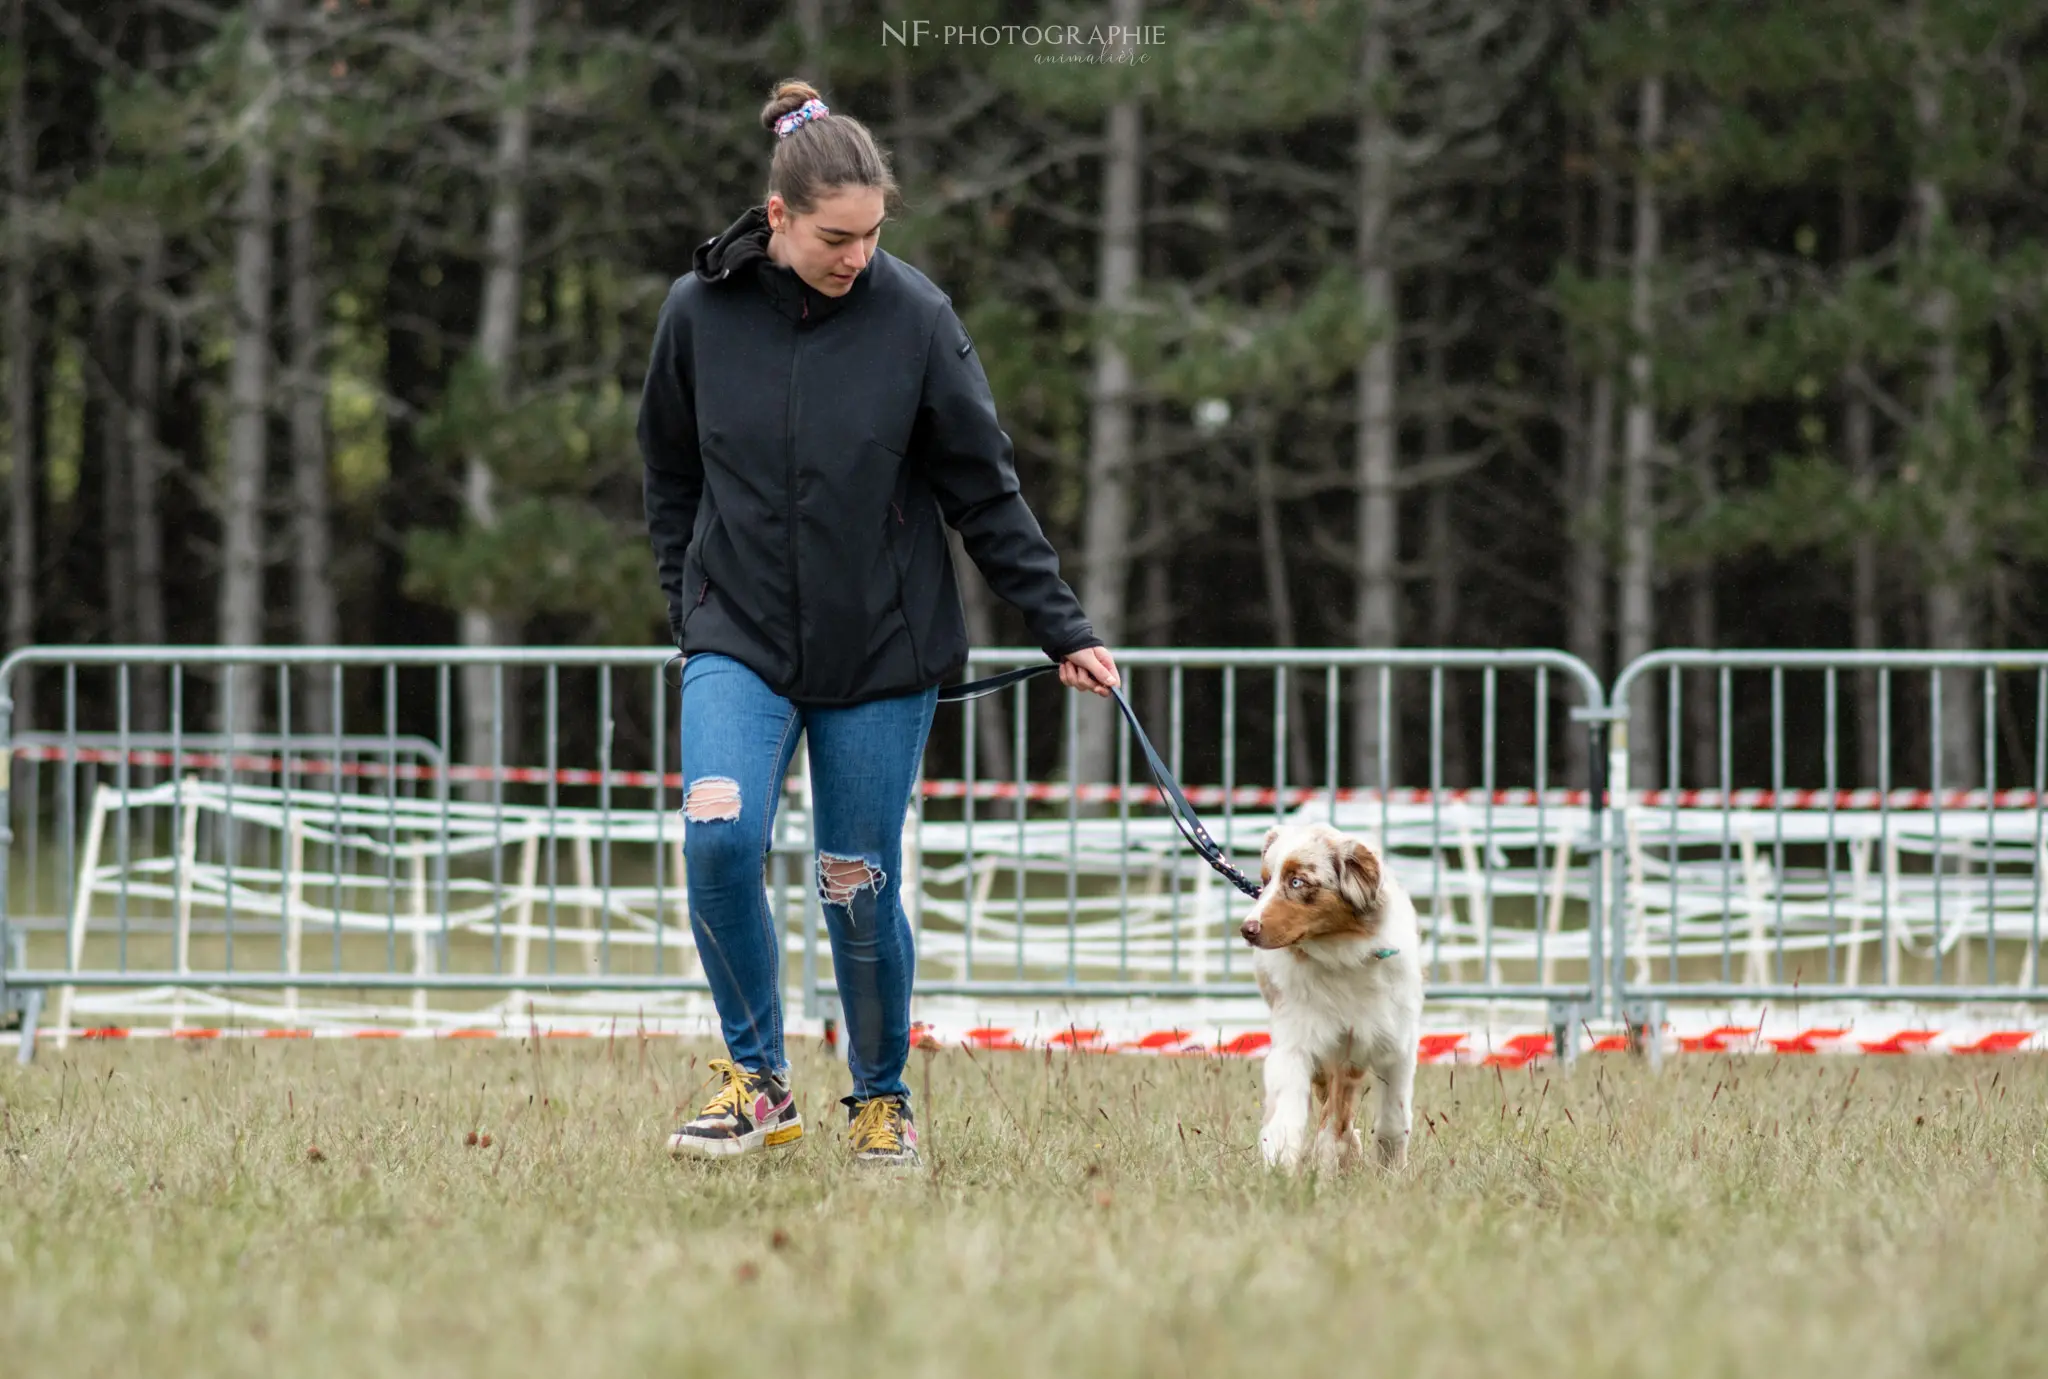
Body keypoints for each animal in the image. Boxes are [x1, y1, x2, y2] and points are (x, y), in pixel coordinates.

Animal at [1236, 819, 1417, 1172]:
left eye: (1297, 881)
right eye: (1265, 881)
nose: (1247, 929)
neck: (1340, 955)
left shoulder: (1393, 1040)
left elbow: (1393, 1113)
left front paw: (1390, 1166)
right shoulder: (1298, 1038)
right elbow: (1289, 1107)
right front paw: (1280, 1163)